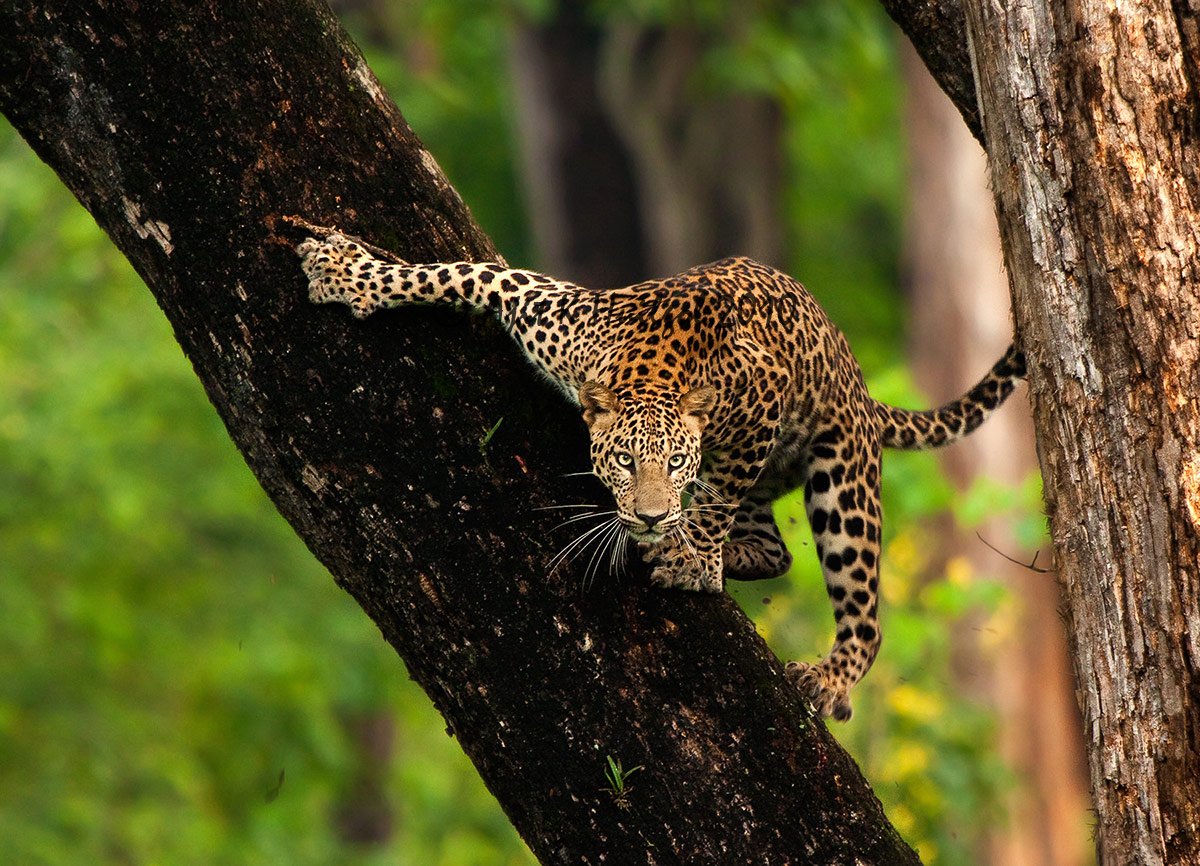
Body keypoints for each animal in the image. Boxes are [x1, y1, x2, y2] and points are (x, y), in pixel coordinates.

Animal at [296, 231, 1026, 720]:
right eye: (622, 462)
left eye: (675, 462)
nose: (649, 514)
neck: (647, 372)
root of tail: (860, 386)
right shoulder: (542, 308)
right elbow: (462, 272)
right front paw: (346, 272)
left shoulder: (761, 402)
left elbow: (720, 493)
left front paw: (691, 559)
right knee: (775, 550)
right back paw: (735, 556)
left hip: (842, 478)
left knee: (862, 608)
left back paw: (829, 677)